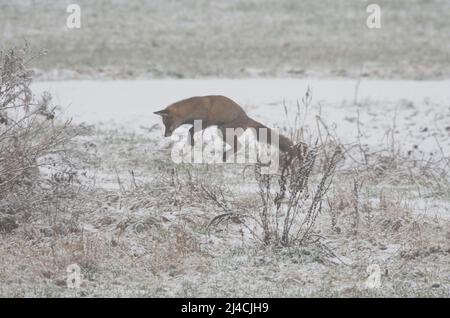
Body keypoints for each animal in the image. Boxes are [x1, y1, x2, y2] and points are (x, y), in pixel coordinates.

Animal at [155, 95, 306, 161]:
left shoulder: (208, 121)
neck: (194, 109)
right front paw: (191, 143)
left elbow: (190, 130)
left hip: (223, 131)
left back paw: (224, 157)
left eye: (167, 123)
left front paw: (192, 142)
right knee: (237, 146)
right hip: (222, 131)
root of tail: (246, 117)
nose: (165, 135)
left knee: (238, 146)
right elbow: (190, 131)